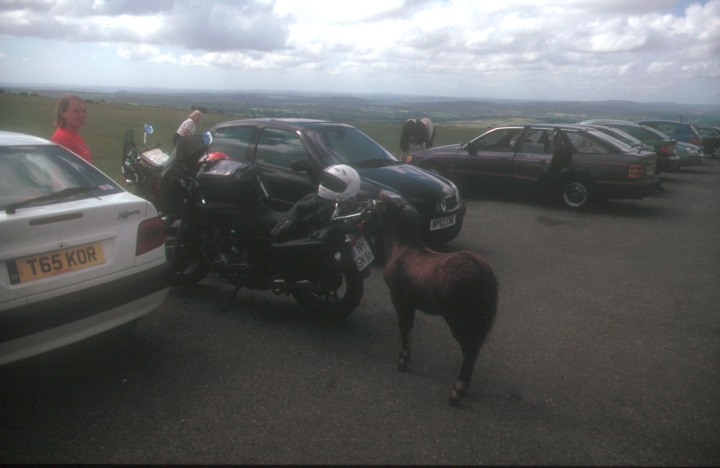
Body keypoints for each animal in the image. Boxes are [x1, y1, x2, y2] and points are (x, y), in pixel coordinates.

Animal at [368, 197, 498, 406]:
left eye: (373, 211)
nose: (361, 227)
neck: (401, 249)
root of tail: (482, 272)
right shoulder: (410, 302)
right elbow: (409, 327)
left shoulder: (398, 299)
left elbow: (403, 327)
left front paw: (403, 360)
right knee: (474, 350)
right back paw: (465, 387)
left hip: (459, 321)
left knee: (469, 350)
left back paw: (457, 390)